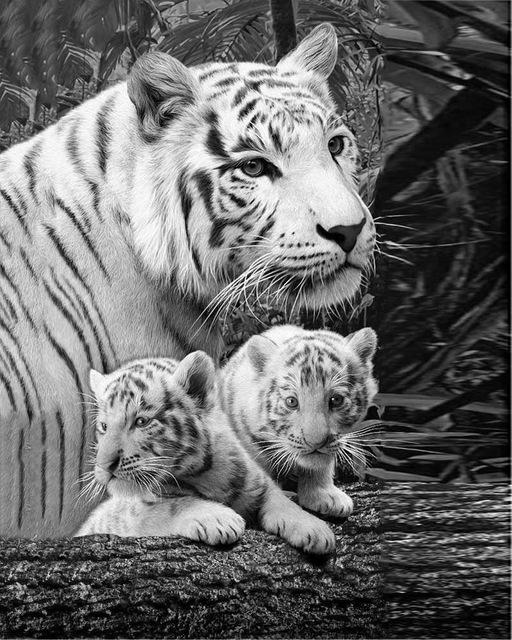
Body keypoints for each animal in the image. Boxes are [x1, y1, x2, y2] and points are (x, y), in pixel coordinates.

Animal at [75, 352, 335, 555]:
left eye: (141, 421)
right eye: (104, 426)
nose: (104, 465)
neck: (203, 473)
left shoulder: (257, 483)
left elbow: (279, 501)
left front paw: (316, 530)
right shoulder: (130, 514)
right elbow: (172, 505)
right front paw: (220, 519)